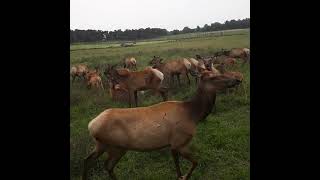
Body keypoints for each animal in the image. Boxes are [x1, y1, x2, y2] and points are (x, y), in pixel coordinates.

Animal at [82, 70, 240, 180]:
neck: (194, 115)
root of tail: (91, 125)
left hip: (101, 145)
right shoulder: (179, 141)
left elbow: (177, 164)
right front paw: (184, 177)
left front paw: (180, 176)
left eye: (217, 72)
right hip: (117, 147)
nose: (237, 79)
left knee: (88, 160)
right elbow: (195, 162)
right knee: (107, 165)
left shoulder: (172, 144)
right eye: (213, 77)